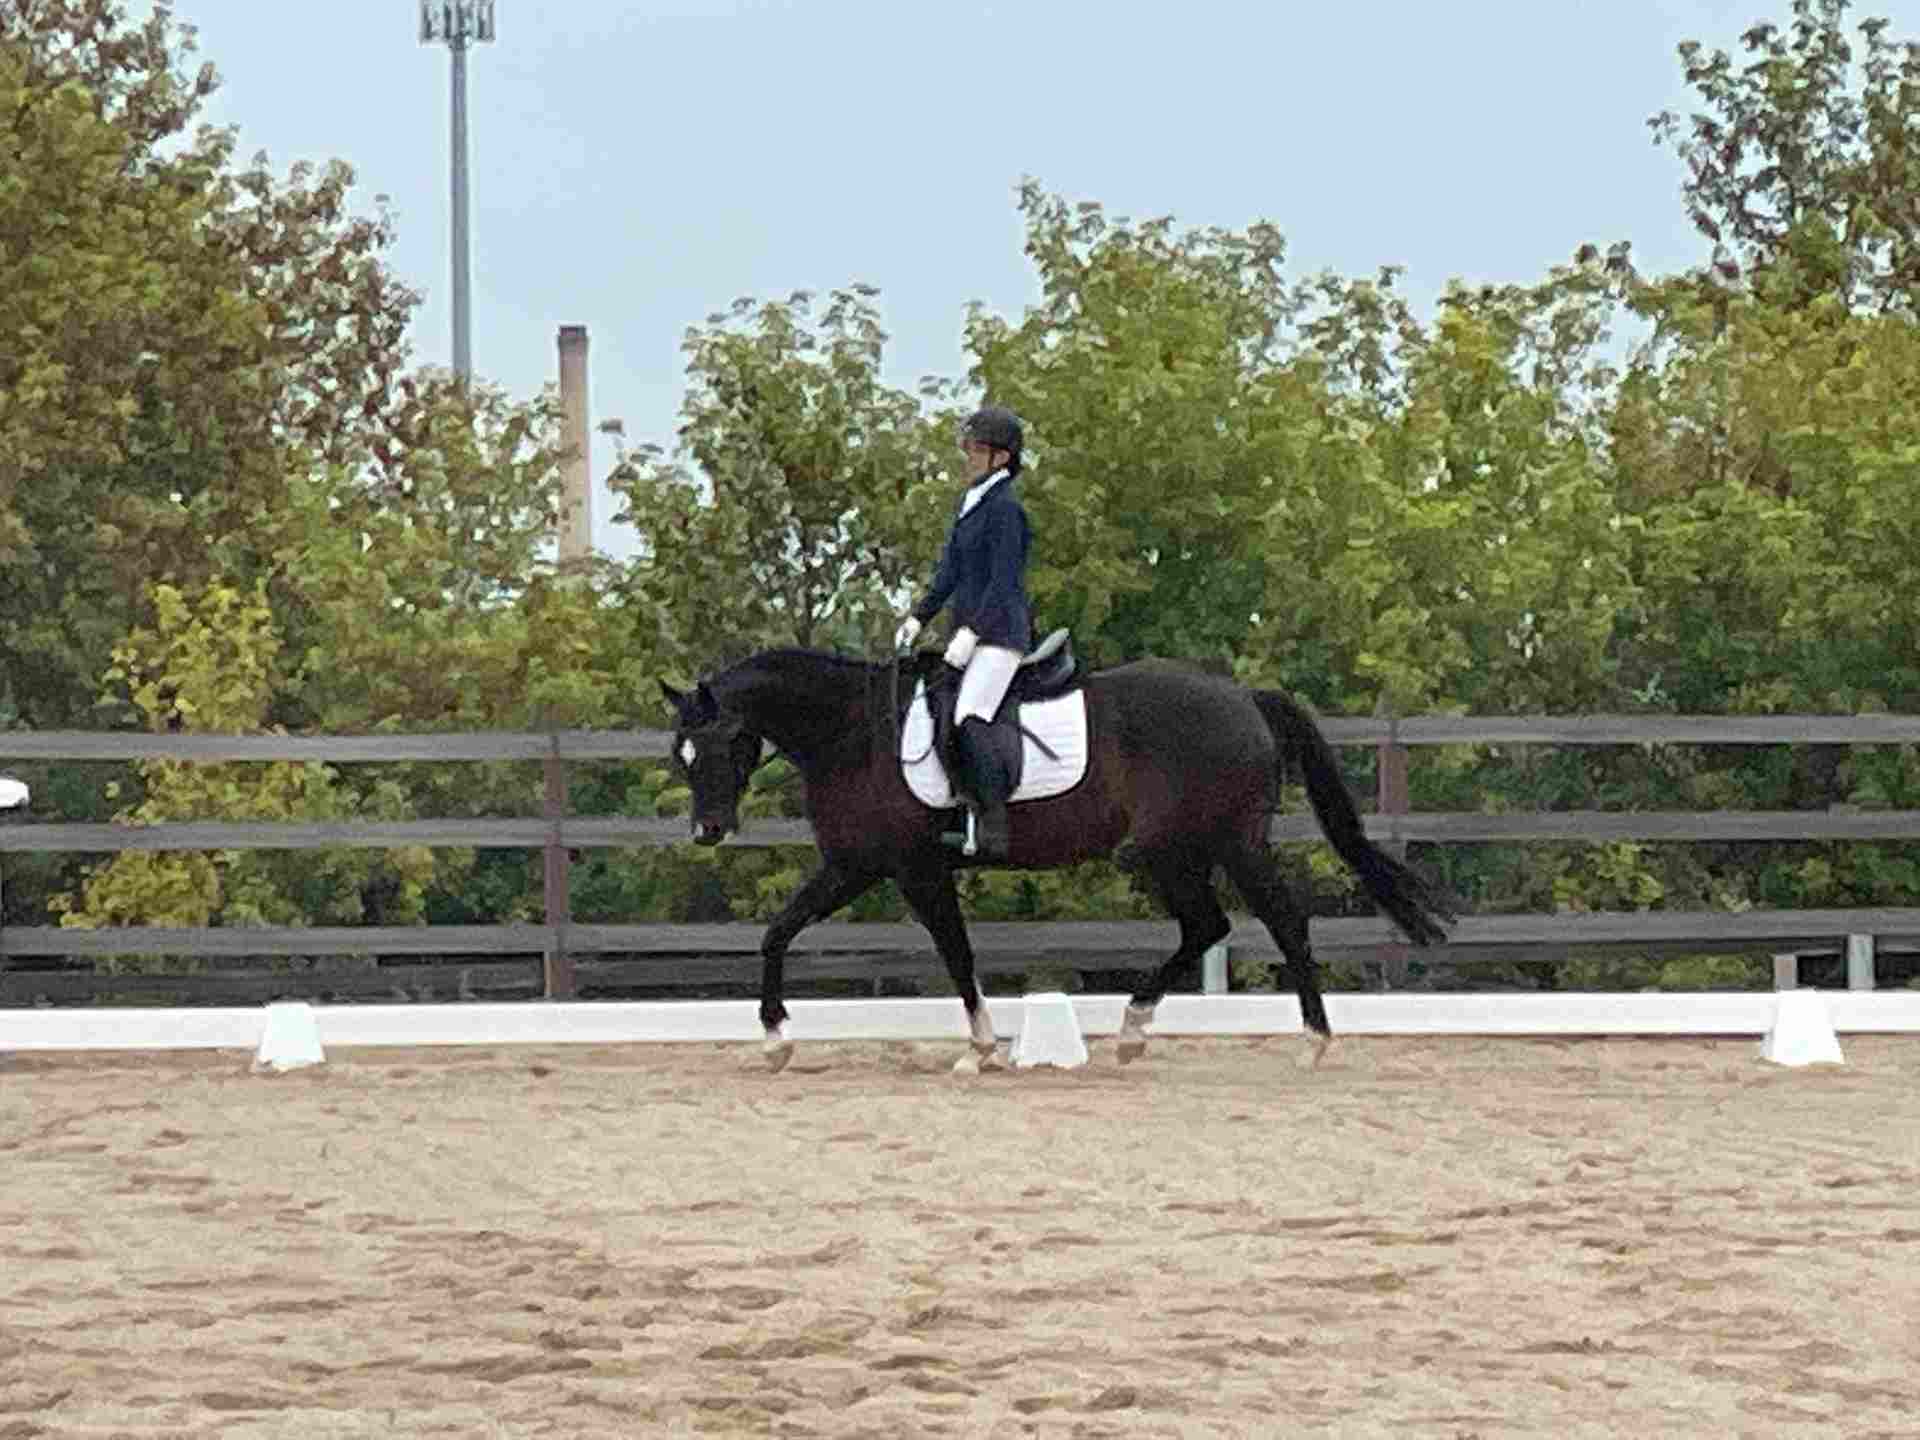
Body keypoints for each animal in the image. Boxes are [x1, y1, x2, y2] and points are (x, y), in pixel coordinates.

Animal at [659, 641, 1456, 1074]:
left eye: (724, 743)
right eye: (681, 753)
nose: (708, 830)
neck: (853, 731)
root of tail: (1244, 699)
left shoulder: (913, 868)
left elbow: (955, 953)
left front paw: (979, 1048)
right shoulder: (856, 864)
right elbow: (777, 933)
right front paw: (774, 1040)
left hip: (1215, 844)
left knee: (1278, 922)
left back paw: (1312, 1043)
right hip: (1178, 850)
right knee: (1208, 927)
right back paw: (1133, 1030)